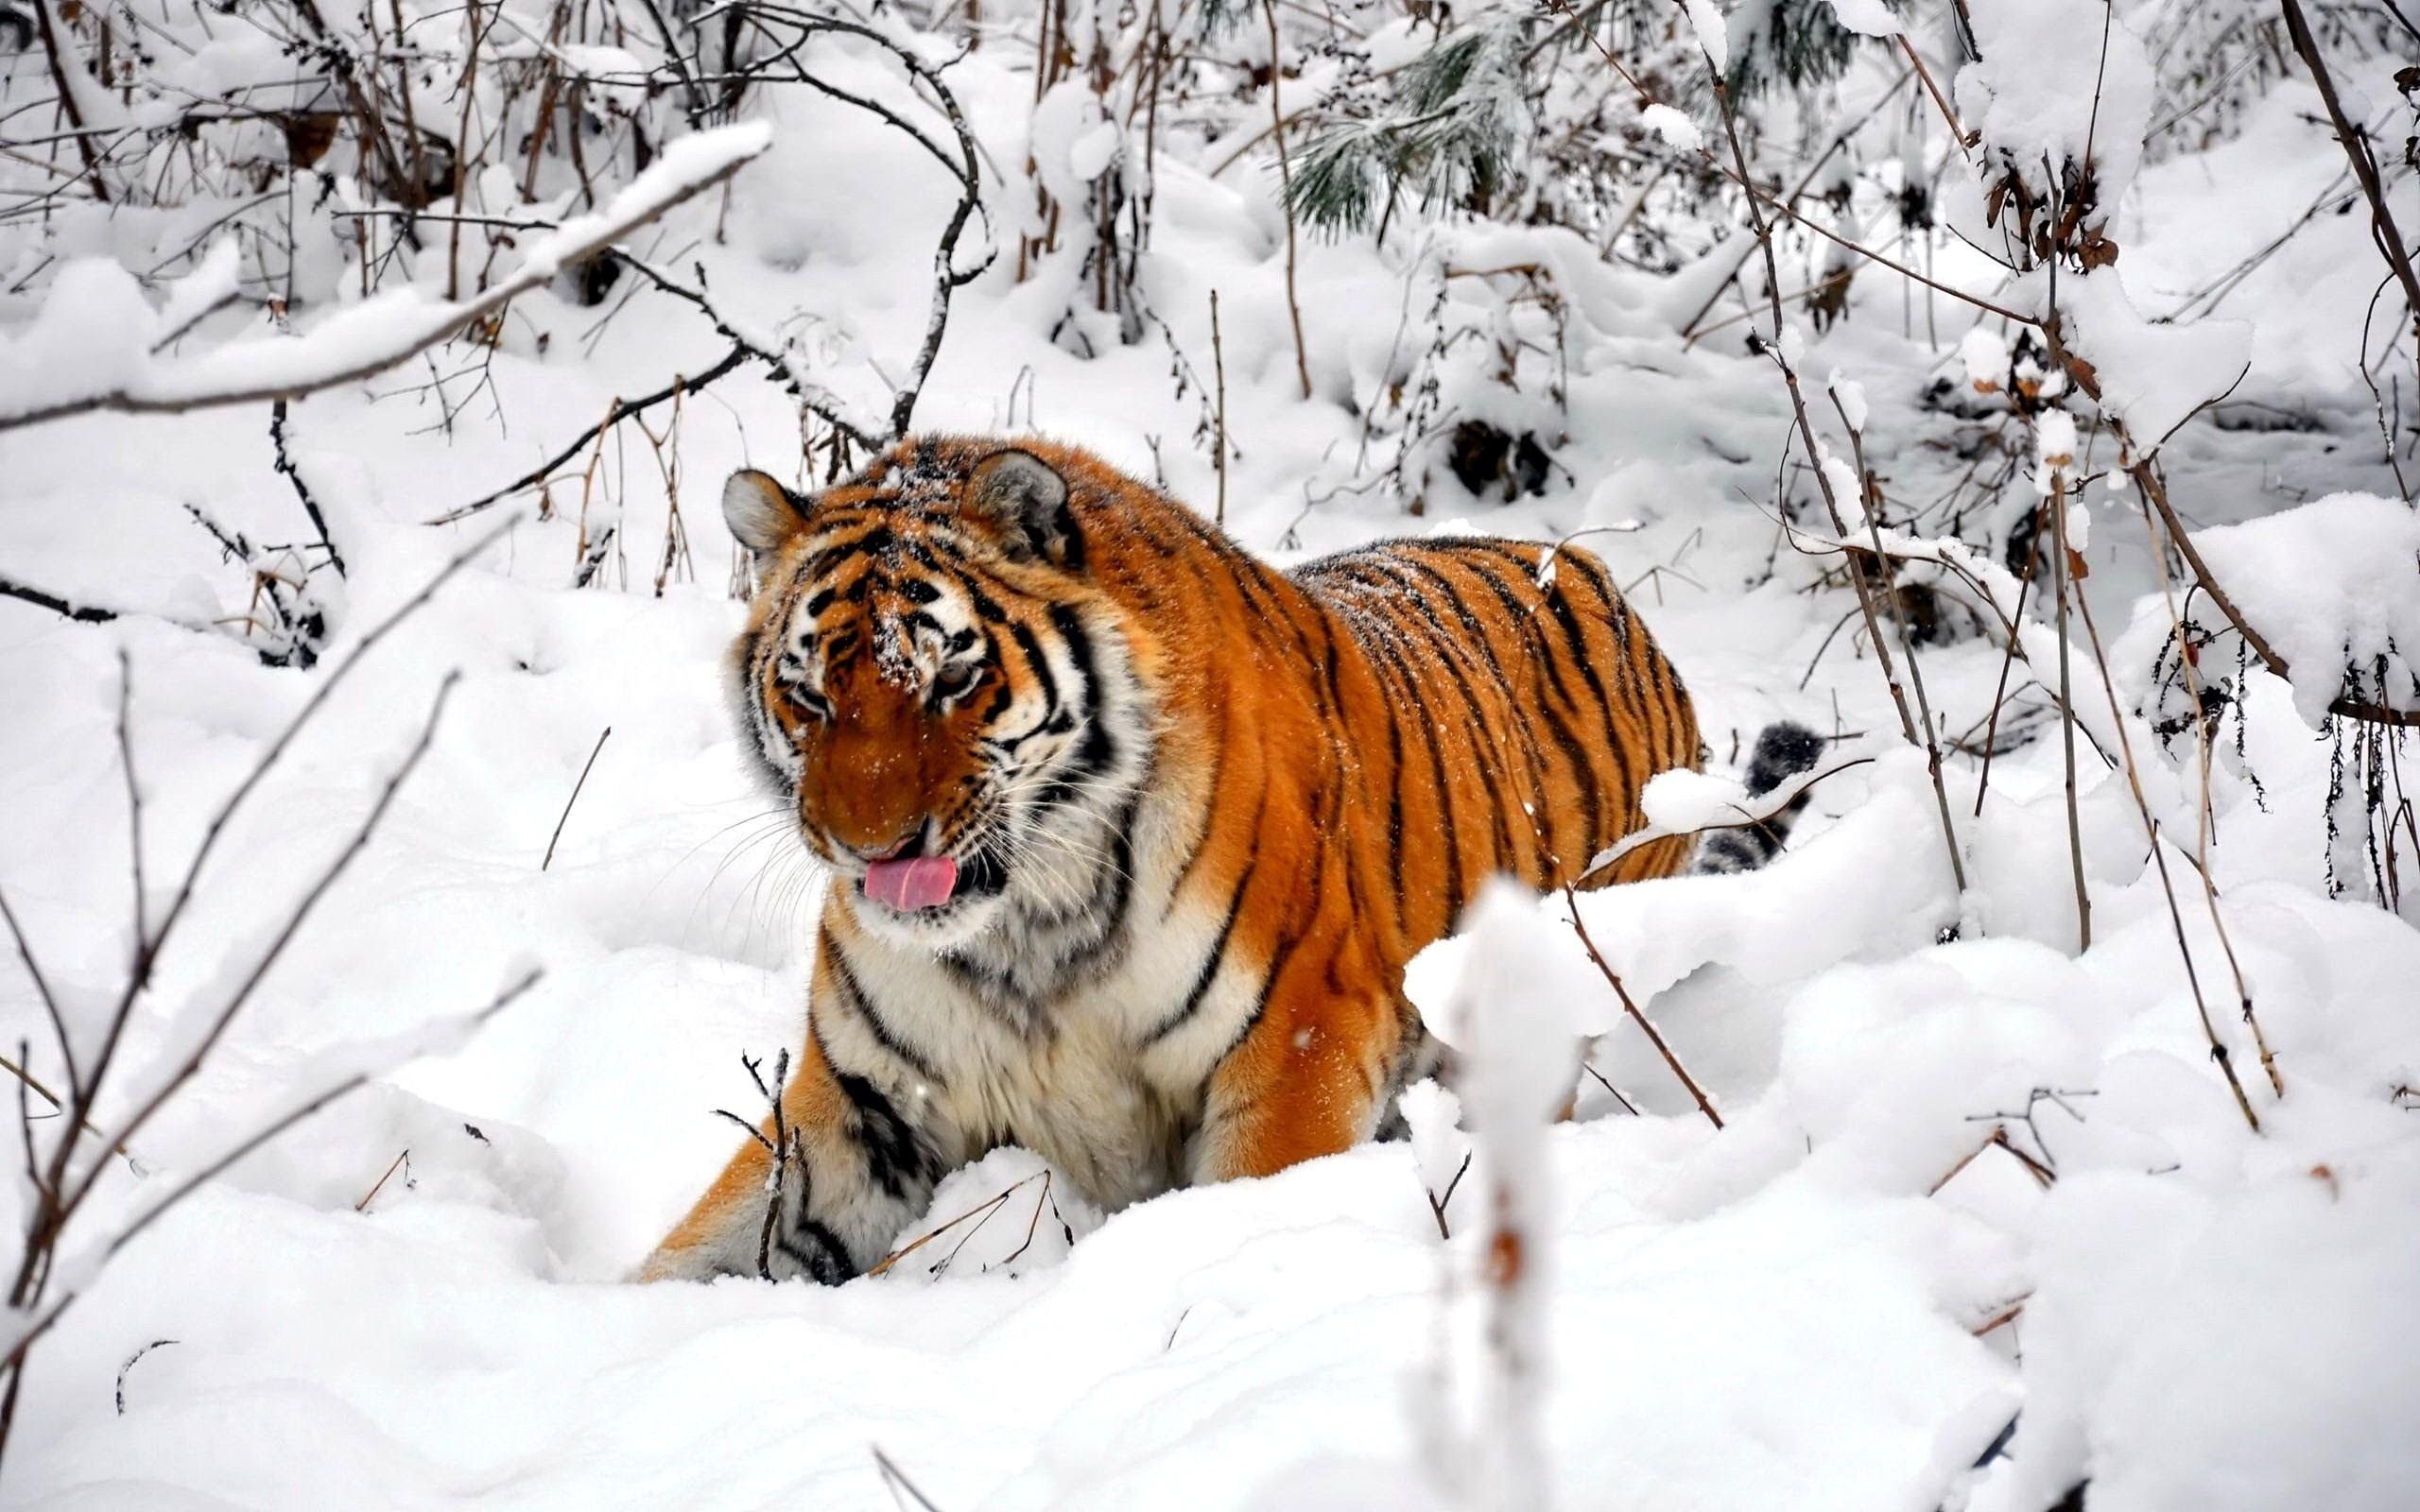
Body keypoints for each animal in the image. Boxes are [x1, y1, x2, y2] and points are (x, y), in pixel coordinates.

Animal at [643, 430, 1820, 1277]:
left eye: (952, 679)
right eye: (809, 694)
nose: (868, 845)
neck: (1028, 931)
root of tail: (1589, 569)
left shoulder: (1298, 1037)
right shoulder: (863, 1101)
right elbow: (700, 1249)